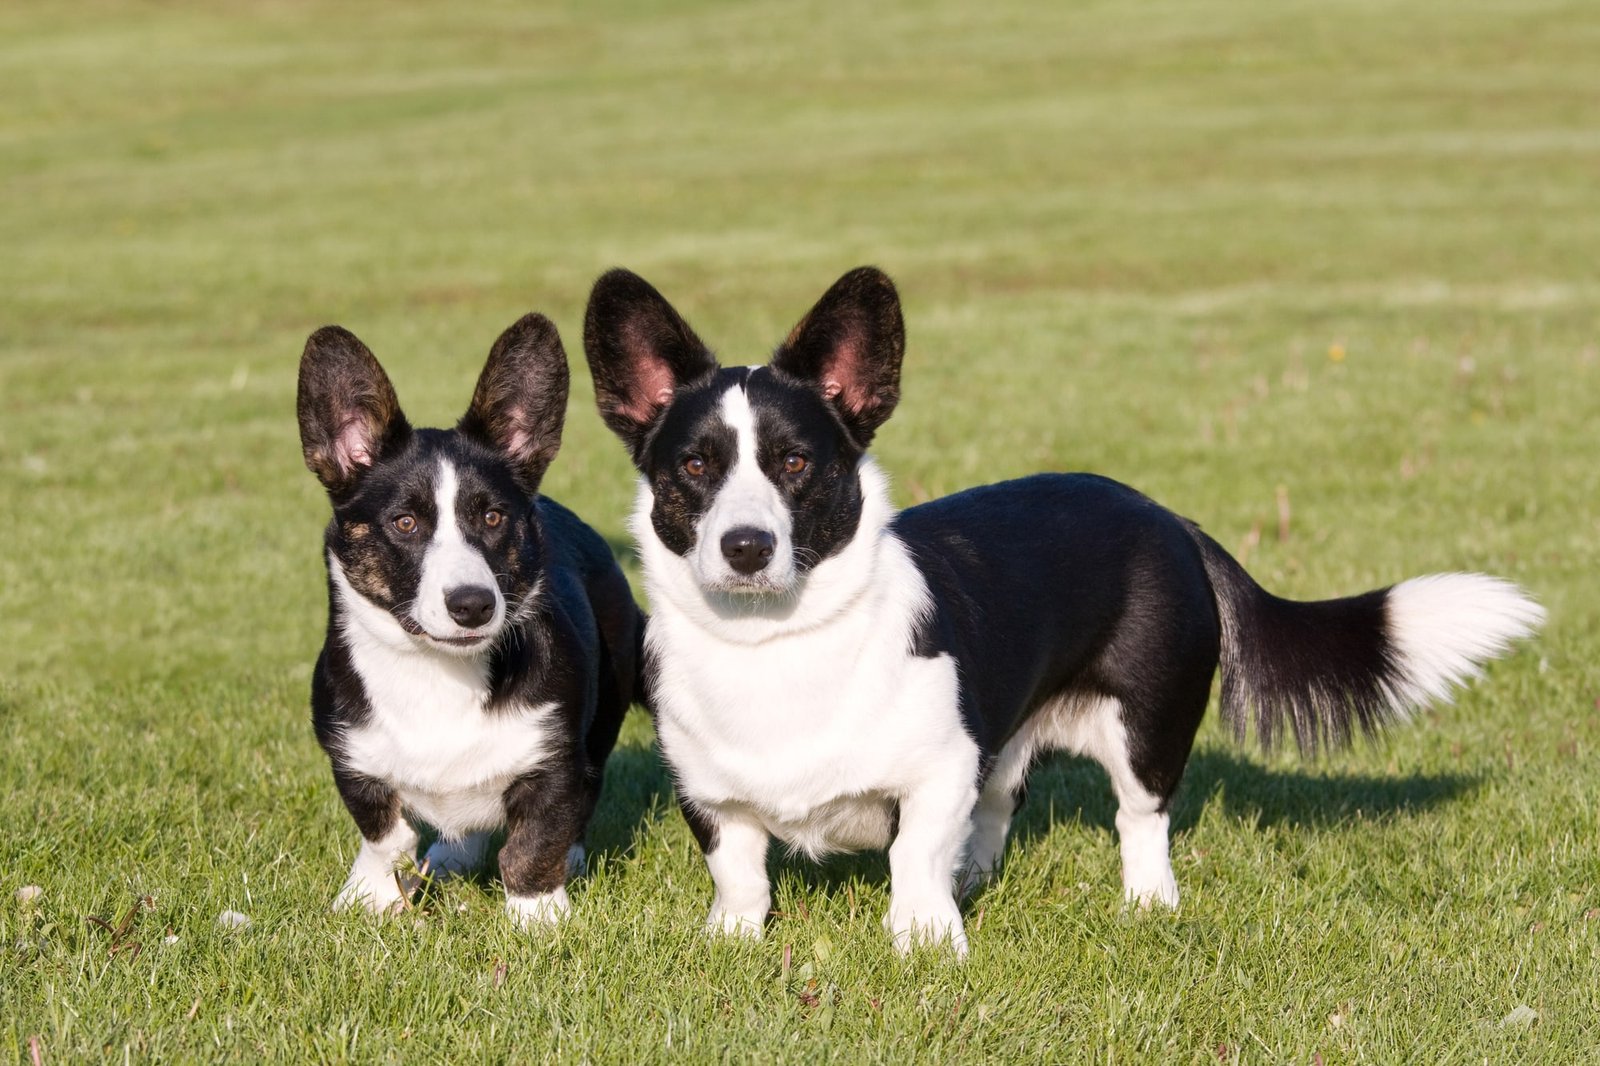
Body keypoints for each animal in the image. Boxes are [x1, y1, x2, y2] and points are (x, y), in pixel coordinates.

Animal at [299, 313, 636, 921]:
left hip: (605, 711)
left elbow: (532, 843)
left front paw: (538, 917)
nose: (473, 604)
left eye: (494, 517)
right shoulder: (351, 757)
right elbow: (386, 833)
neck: (435, 671)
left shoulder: (554, 761)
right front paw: (370, 896)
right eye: (405, 523)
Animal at [582, 270, 1542, 947]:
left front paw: (926, 943)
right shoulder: (711, 796)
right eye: (694, 468)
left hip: (1146, 724)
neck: (776, 643)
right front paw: (733, 941)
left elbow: (912, 858)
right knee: (1000, 804)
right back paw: (980, 877)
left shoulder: (935, 772)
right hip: (1012, 737)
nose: (746, 547)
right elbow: (741, 874)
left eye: (794, 464)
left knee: (1139, 818)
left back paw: (1148, 906)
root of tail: (1168, 518)